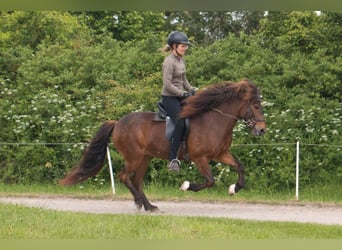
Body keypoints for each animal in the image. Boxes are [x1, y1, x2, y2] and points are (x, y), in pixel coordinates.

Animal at [60, 78, 266, 211]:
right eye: (256, 106)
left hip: (144, 158)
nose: (262, 130)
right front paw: (186, 186)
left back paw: (149, 206)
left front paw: (234, 189)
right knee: (124, 176)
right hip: (134, 157)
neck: (214, 121)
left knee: (136, 180)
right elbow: (210, 180)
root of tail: (117, 123)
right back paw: (140, 202)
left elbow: (240, 167)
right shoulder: (200, 158)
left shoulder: (221, 154)